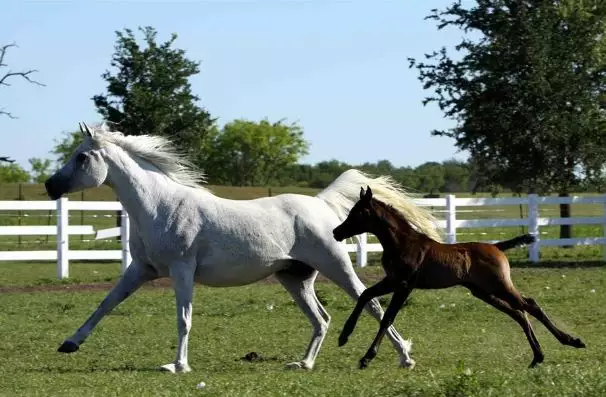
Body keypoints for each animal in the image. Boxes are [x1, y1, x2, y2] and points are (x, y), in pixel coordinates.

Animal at [45, 122, 444, 372]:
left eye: (81, 156)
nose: (50, 186)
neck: (159, 206)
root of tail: (321, 204)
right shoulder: (141, 269)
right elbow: (106, 304)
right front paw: (69, 343)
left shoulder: (181, 269)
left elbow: (184, 317)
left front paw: (178, 365)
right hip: (295, 278)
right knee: (322, 319)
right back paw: (304, 364)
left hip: (336, 267)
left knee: (372, 305)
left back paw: (405, 357)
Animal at [334, 186, 588, 368]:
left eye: (357, 212)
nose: (336, 232)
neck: (403, 243)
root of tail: (496, 247)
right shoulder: (392, 280)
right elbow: (365, 295)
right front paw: (344, 336)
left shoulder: (404, 284)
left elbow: (387, 318)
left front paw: (366, 357)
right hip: (484, 292)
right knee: (518, 313)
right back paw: (537, 357)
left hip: (498, 286)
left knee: (530, 305)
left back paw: (572, 341)